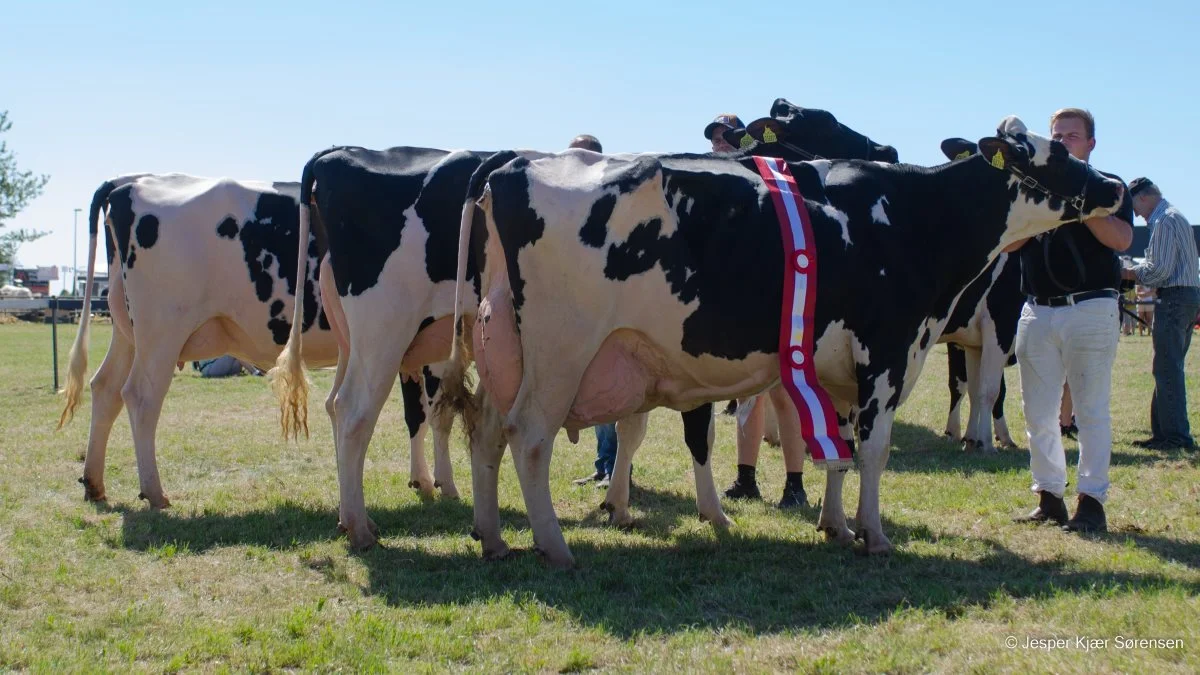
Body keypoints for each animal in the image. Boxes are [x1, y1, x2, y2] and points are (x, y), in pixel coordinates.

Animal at [57, 171, 451, 504]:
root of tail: (130, 181)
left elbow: (416, 414)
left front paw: (423, 480)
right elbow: (435, 415)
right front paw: (444, 484)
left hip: (128, 331)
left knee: (105, 387)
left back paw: (94, 483)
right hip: (162, 330)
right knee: (140, 397)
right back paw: (154, 492)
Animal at [446, 117, 1128, 566]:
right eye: (1050, 156)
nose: (1118, 186)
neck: (911, 216)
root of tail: (510, 162)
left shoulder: (839, 368)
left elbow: (839, 450)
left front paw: (836, 526)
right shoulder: (888, 351)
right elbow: (872, 451)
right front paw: (874, 535)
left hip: (501, 343)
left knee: (485, 431)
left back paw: (492, 537)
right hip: (561, 350)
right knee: (529, 437)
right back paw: (553, 545)